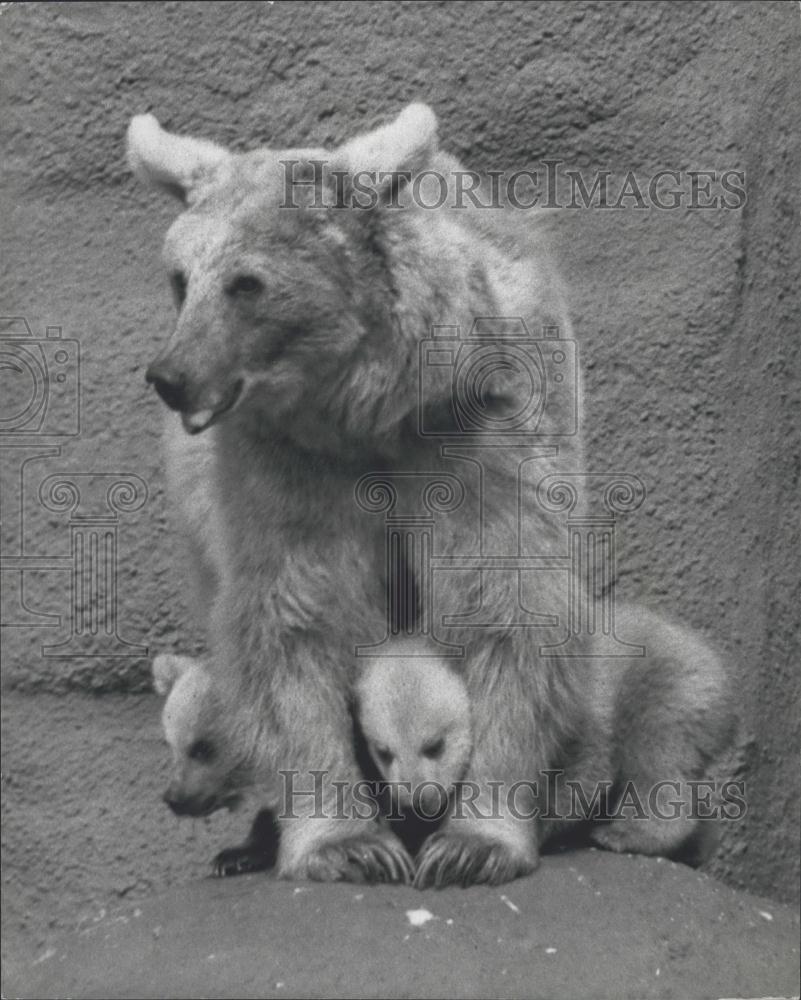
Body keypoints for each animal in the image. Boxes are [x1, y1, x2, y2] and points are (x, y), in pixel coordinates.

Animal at [128, 103, 733, 886]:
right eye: (179, 278)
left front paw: (474, 840)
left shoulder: (477, 433)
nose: (170, 375)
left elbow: (504, 598)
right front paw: (345, 842)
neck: (367, 411)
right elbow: (298, 616)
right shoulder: (286, 466)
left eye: (246, 283)